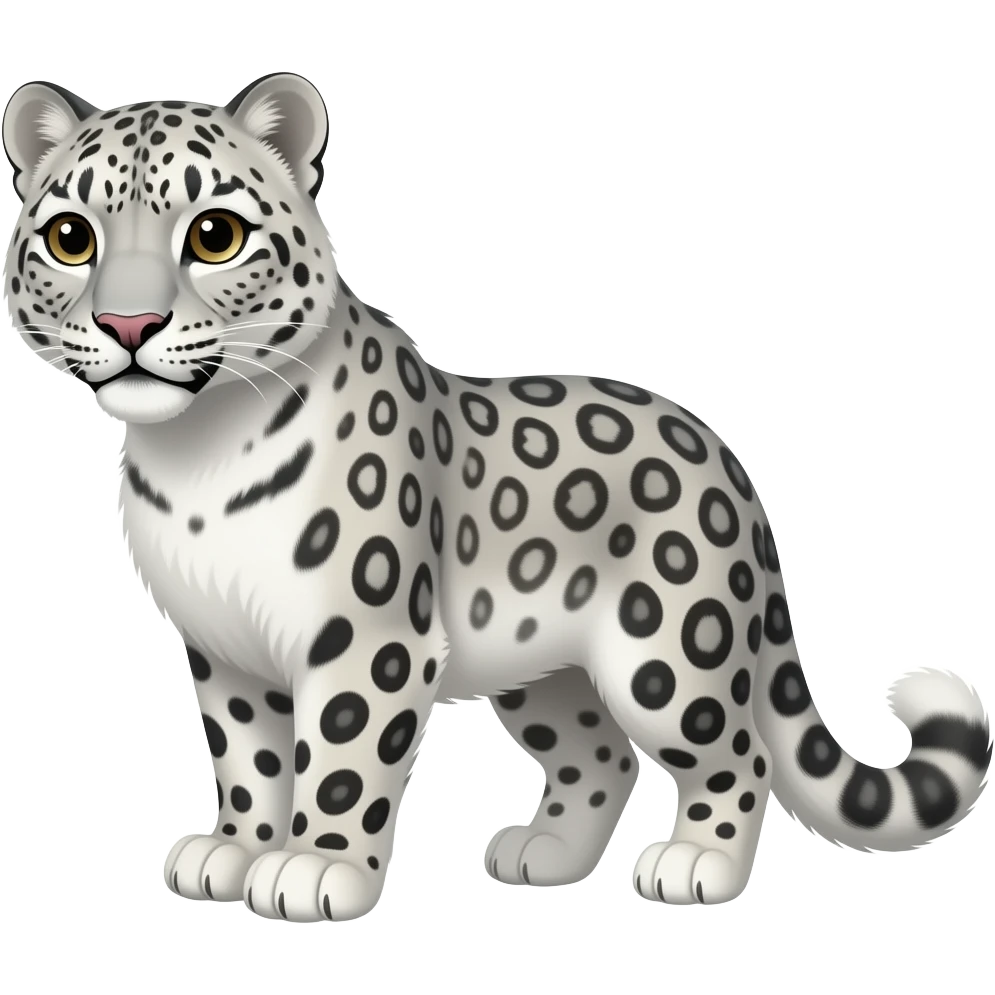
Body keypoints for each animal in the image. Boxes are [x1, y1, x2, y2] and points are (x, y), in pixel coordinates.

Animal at [2, 72, 991, 923]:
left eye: (214, 234)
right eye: (71, 238)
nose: (129, 325)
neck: (194, 454)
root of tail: (722, 455)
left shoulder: (368, 640)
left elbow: (342, 758)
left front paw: (315, 869)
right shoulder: (224, 650)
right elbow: (249, 757)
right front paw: (237, 848)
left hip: (669, 652)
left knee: (730, 748)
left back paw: (695, 863)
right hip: (543, 673)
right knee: (601, 754)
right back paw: (543, 852)